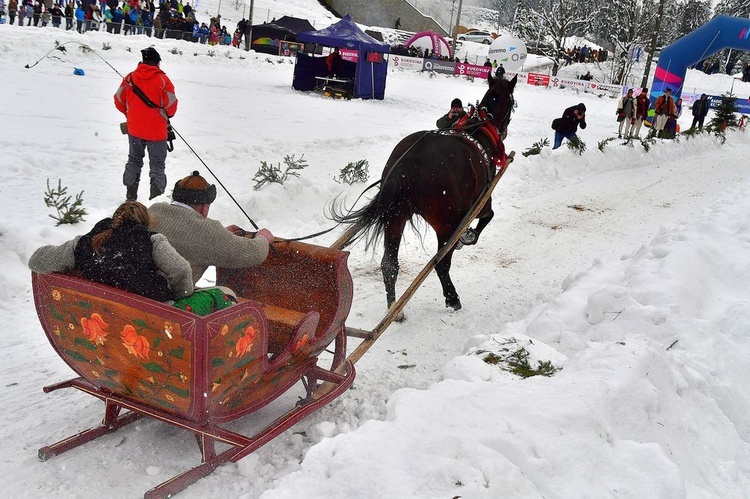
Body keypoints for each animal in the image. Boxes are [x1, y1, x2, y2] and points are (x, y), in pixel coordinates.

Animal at [334, 72, 516, 314]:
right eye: (512, 101)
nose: (504, 131)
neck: (479, 130)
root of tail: (410, 162)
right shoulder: (482, 201)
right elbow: (487, 218)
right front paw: (467, 237)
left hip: (395, 217)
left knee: (389, 265)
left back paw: (395, 309)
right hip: (445, 223)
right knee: (441, 263)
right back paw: (452, 297)